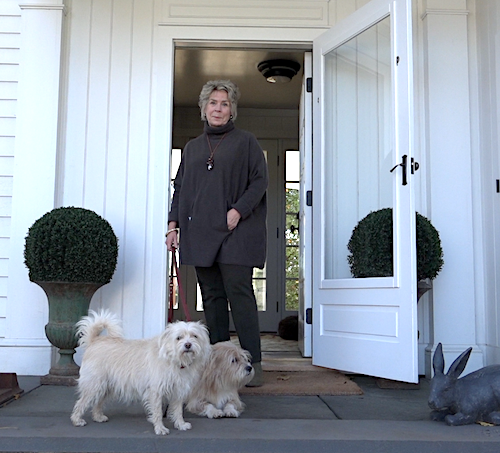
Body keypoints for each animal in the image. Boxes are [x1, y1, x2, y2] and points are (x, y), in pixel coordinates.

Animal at [70, 308, 209, 432]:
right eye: (178, 338)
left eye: (194, 336)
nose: (188, 345)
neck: (173, 359)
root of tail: (94, 340)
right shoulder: (156, 392)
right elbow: (158, 412)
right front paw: (160, 428)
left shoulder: (178, 391)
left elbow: (178, 411)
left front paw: (181, 424)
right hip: (94, 384)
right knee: (81, 402)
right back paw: (77, 420)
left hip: (106, 386)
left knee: (98, 402)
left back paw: (98, 417)